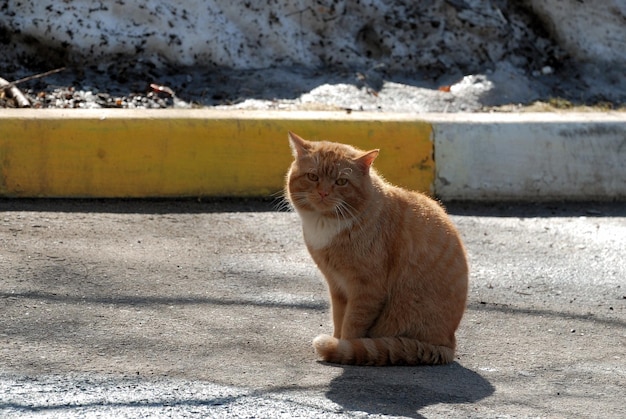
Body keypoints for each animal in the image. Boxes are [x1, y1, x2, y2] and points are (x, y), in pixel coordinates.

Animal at [286, 133, 466, 366]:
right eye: (313, 177)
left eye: (341, 181)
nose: (323, 193)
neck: (327, 225)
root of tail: (448, 346)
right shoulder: (336, 285)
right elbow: (338, 319)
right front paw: (337, 339)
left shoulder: (366, 290)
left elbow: (352, 326)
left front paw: (342, 348)